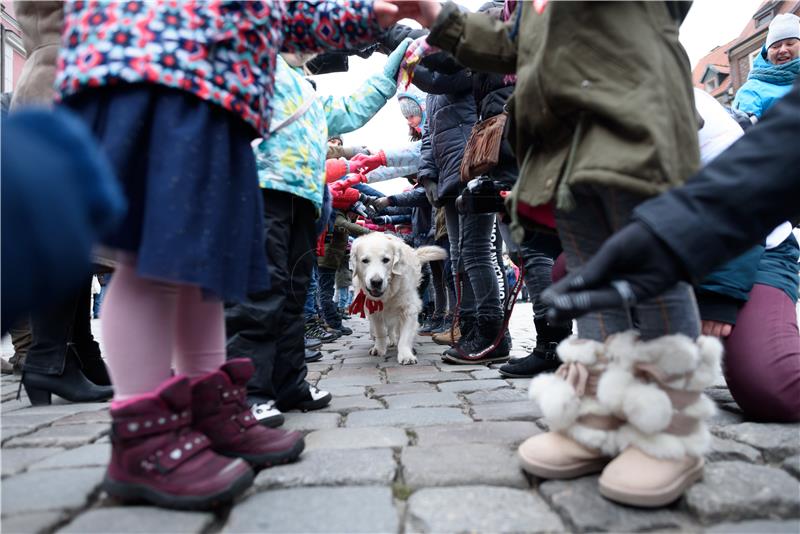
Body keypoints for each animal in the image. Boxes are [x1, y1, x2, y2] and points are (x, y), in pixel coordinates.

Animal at [352, 236, 450, 366]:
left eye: (386, 260)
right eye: (365, 260)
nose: (376, 282)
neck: (388, 294)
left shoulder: (408, 308)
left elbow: (405, 336)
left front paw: (406, 355)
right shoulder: (374, 310)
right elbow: (380, 331)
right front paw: (379, 348)